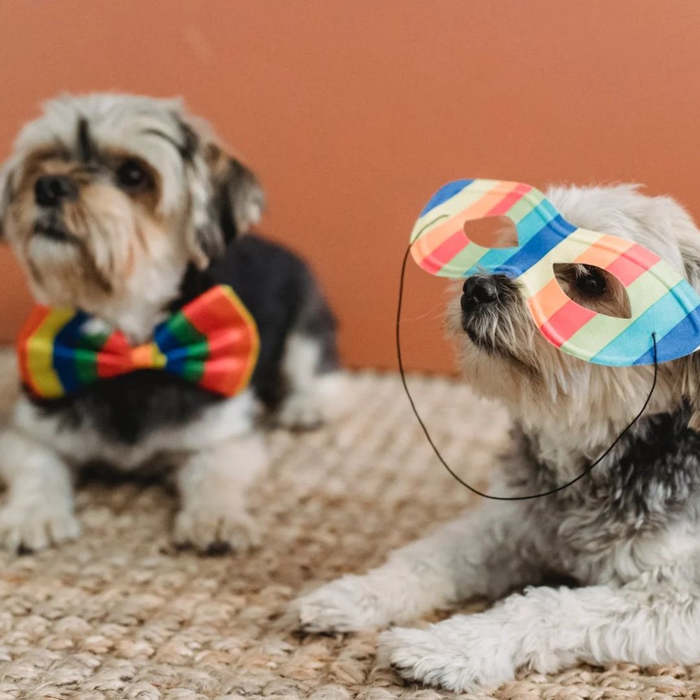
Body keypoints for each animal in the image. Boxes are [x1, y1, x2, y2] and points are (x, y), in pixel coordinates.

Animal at [296, 183, 700, 692]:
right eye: (517, 244)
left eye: (589, 279)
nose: (477, 286)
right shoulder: (508, 524)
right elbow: (429, 556)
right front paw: (355, 593)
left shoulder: (680, 595)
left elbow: (545, 606)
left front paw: (446, 648)